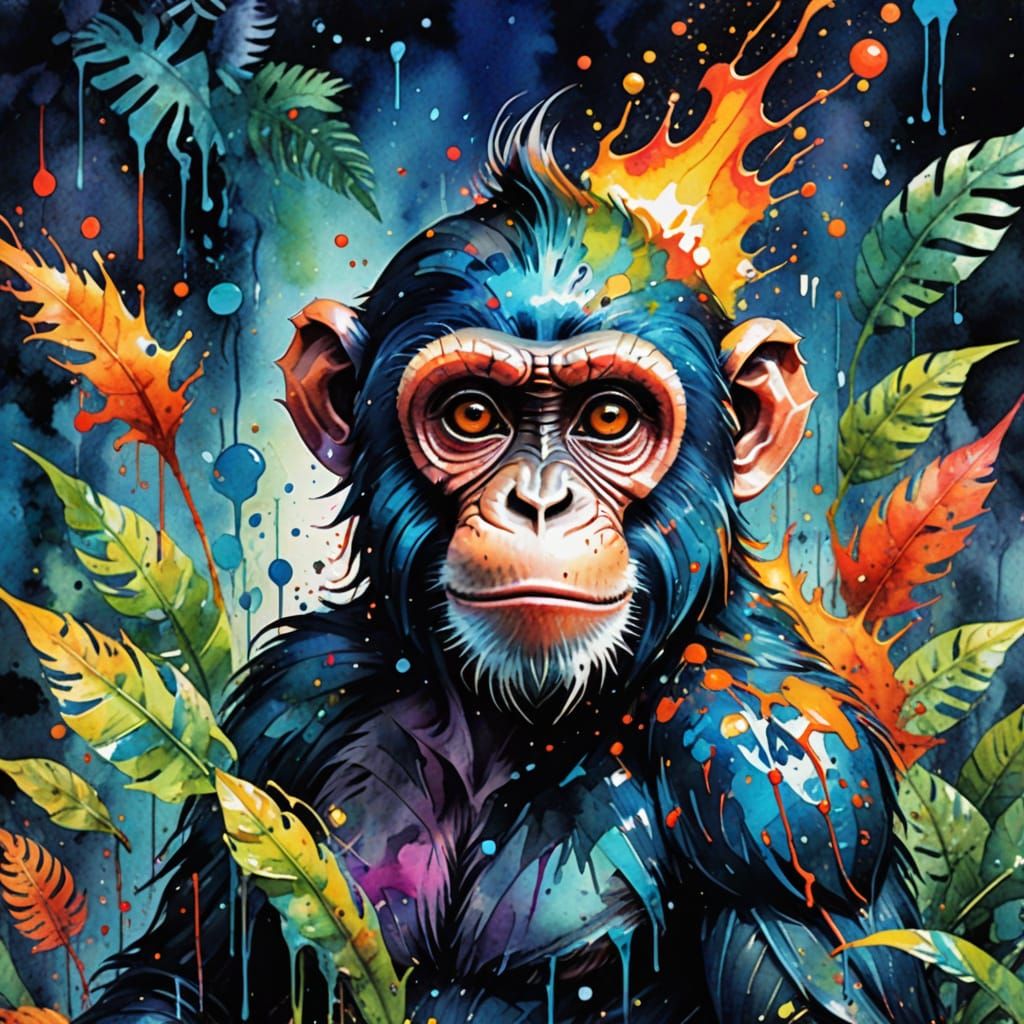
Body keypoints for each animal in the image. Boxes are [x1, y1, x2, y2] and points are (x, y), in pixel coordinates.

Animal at [77, 104, 938, 1024]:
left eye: (608, 417)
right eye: (472, 414)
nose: (539, 503)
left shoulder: (782, 786)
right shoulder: (284, 714)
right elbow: (185, 975)